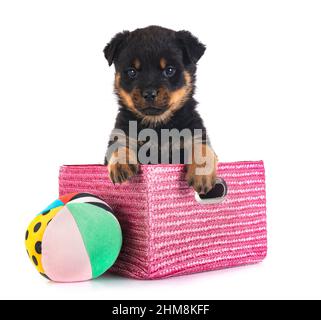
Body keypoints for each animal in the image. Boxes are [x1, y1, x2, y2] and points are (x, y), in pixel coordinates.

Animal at [104, 25, 216, 194]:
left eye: (169, 70)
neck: (157, 125)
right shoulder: (122, 131)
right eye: (132, 72)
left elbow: (202, 148)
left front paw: (201, 173)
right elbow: (119, 144)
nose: (149, 93)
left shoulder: (195, 132)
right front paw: (120, 164)